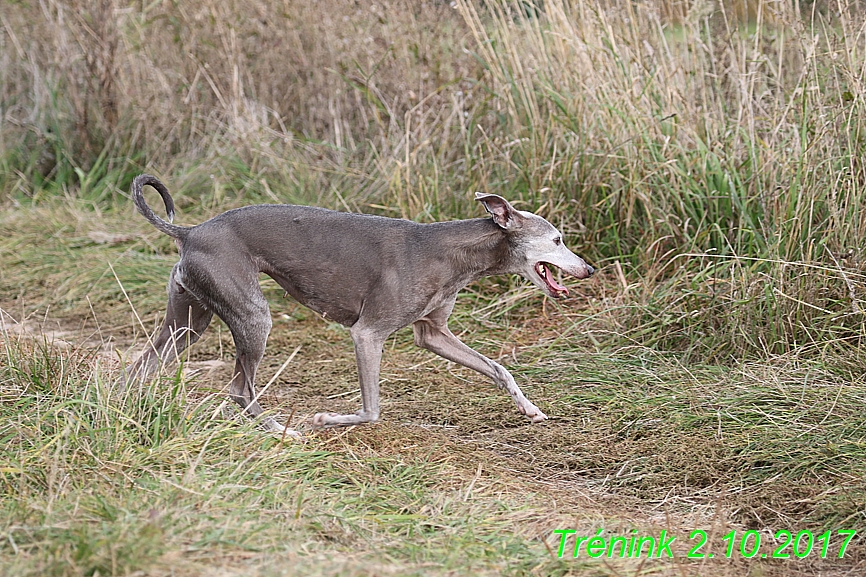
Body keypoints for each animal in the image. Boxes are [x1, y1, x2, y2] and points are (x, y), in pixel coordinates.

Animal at [123, 176, 592, 432]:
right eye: (557, 240)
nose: (588, 269)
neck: (448, 251)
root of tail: (189, 232)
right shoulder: (367, 334)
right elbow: (372, 411)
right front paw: (323, 420)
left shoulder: (433, 334)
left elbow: (498, 368)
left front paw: (530, 409)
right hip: (253, 316)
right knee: (240, 388)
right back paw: (282, 432)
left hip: (187, 320)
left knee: (139, 368)